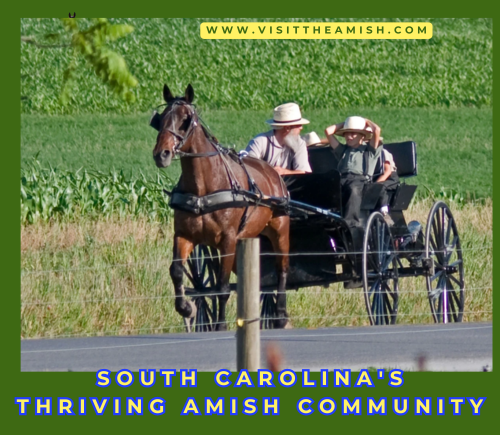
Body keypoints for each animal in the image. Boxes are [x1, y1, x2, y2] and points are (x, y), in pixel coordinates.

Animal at [151, 84, 290, 330]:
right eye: (161, 118)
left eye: (186, 119)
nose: (162, 154)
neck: (203, 189)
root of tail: (272, 172)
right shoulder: (184, 235)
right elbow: (177, 271)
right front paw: (186, 307)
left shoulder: (227, 239)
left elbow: (223, 288)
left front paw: (221, 325)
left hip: (280, 230)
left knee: (282, 270)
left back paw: (280, 315)